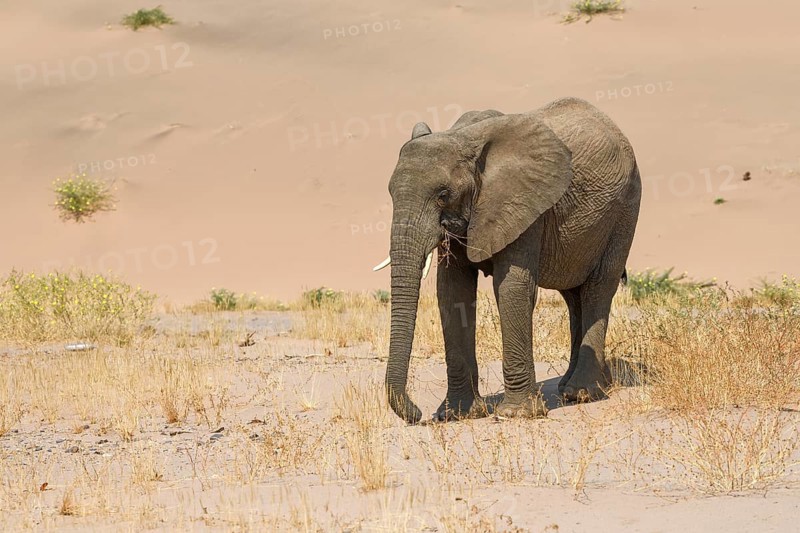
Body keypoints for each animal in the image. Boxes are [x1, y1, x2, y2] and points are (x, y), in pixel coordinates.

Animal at [374, 97, 641, 424]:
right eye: (390, 193)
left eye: (443, 194)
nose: (417, 413)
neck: (463, 138)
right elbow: (452, 292)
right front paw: (458, 414)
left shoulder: (524, 203)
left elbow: (511, 287)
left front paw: (515, 414)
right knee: (573, 296)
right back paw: (577, 388)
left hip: (625, 209)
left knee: (597, 288)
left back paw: (582, 393)